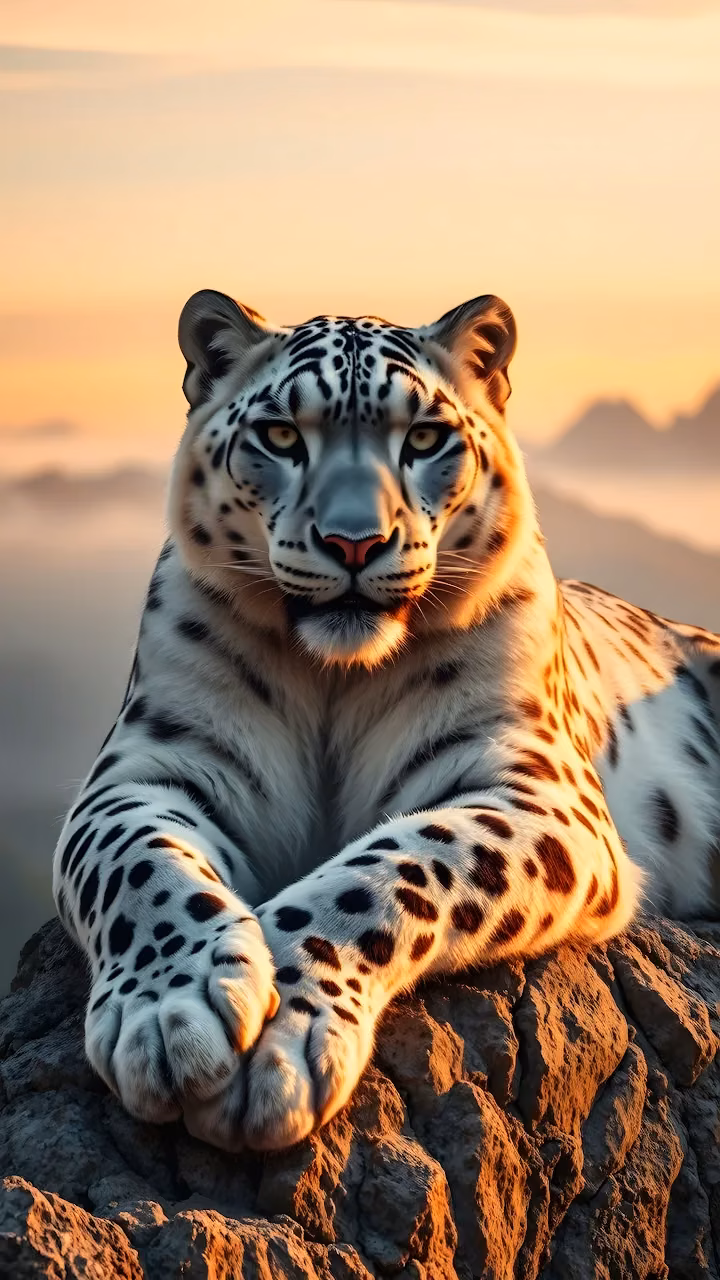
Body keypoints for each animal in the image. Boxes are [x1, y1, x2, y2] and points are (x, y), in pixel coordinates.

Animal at [52, 288, 720, 1153]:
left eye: (426, 437)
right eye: (280, 435)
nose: (353, 542)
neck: (333, 684)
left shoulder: (533, 785)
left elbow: (398, 864)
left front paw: (279, 1036)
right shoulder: (152, 763)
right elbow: (139, 866)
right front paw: (173, 1010)